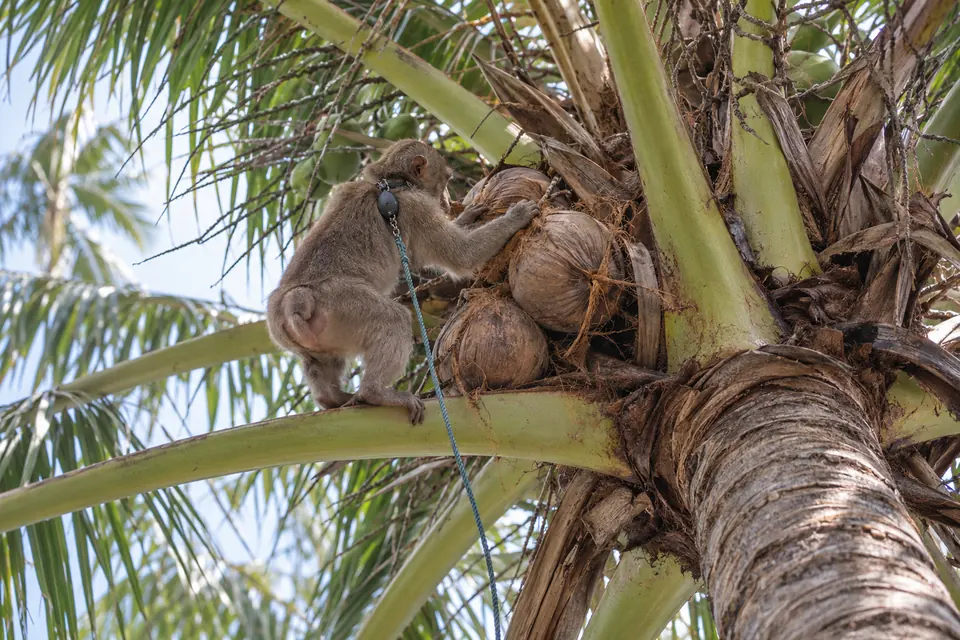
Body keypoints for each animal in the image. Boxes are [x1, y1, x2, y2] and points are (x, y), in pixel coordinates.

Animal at [266, 139, 538, 424]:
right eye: (445, 179)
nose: (446, 200)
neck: (390, 184)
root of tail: (293, 300)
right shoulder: (416, 207)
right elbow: (460, 255)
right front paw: (516, 217)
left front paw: (467, 216)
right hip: (342, 306)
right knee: (393, 319)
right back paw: (375, 393)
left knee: (318, 362)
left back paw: (331, 398)